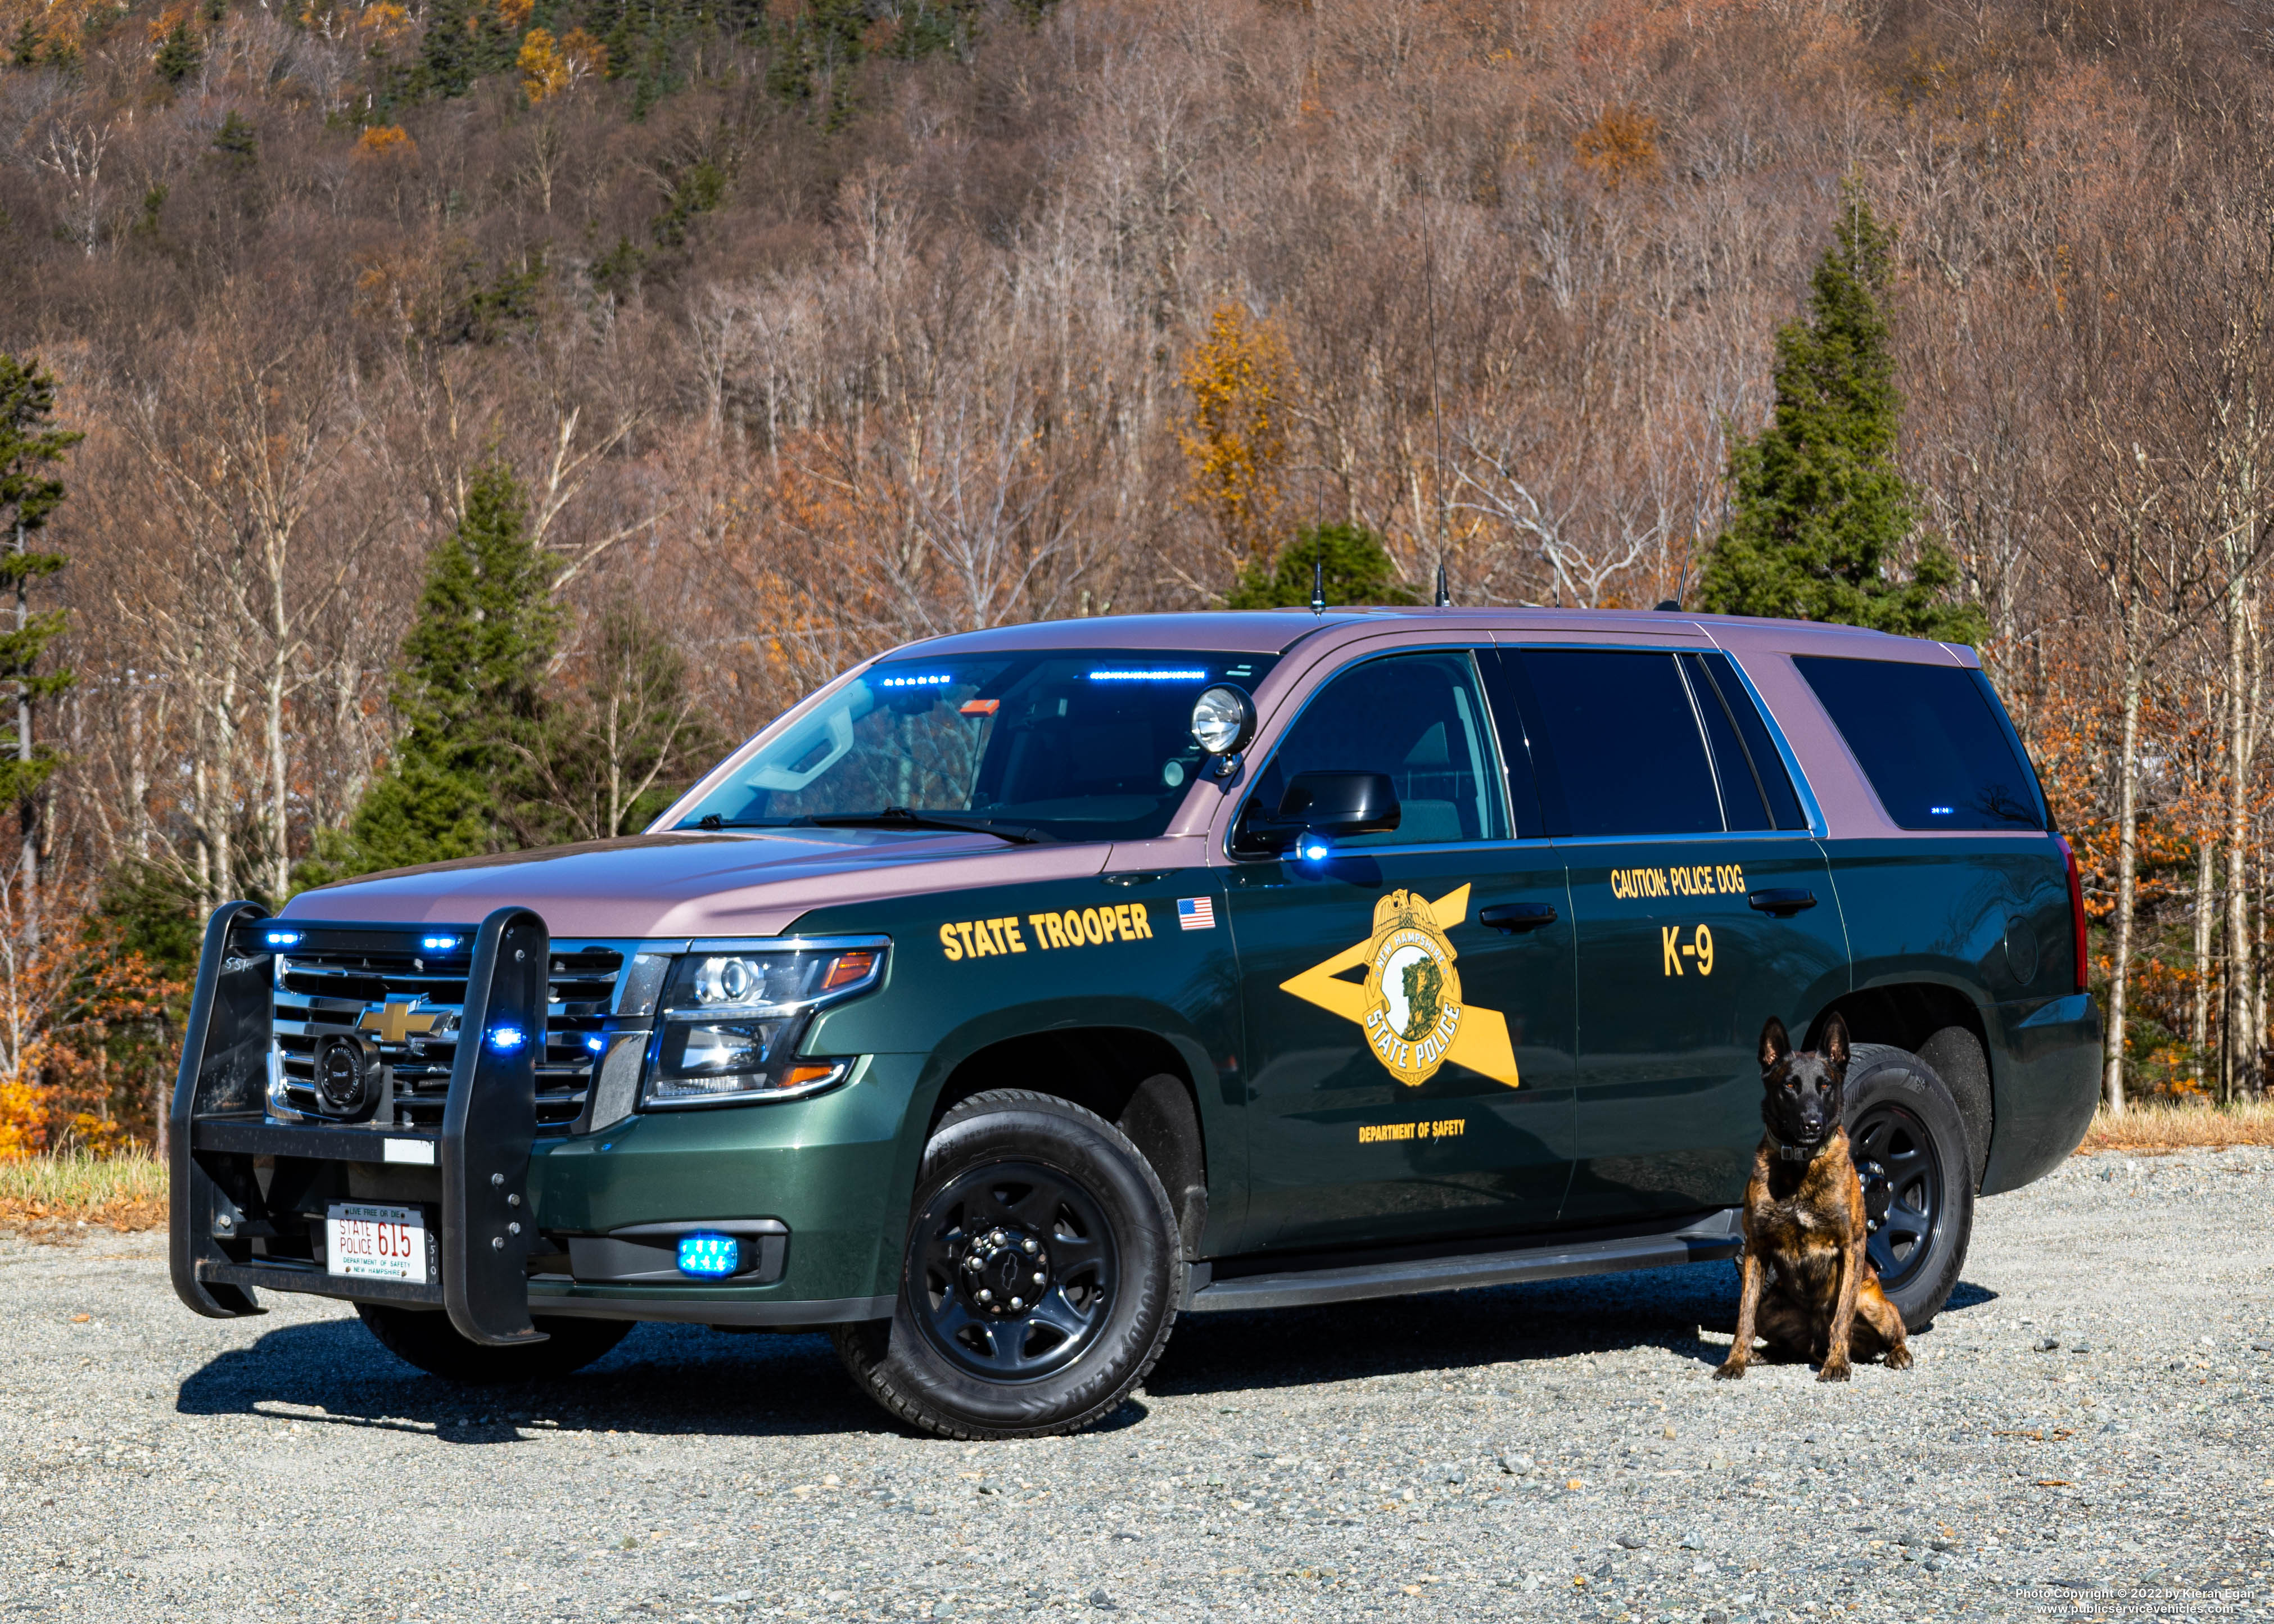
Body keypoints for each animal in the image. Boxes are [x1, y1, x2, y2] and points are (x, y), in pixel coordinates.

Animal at [1710, 1010, 1910, 1383]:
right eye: (1790, 1085)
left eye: (1825, 1085)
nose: (1812, 1123)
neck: (1801, 1165)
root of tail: (1813, 1339)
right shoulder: (1756, 1247)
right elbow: (1743, 1319)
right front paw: (1734, 1361)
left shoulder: (1852, 1245)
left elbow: (1842, 1316)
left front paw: (1837, 1364)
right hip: (1772, 1308)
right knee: (1782, 1345)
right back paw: (1760, 1355)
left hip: (1874, 1303)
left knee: (1895, 1331)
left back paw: (1895, 1354)